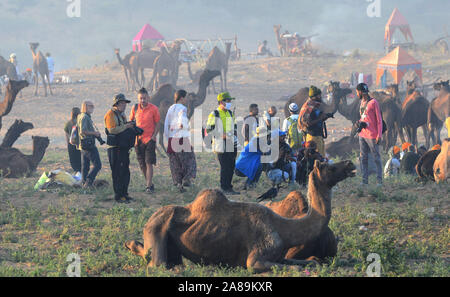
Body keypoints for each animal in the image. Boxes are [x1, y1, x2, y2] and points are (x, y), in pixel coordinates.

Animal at [125, 160, 356, 270]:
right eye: (329, 167)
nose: (349, 164)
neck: (285, 228)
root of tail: (149, 220)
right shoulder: (256, 258)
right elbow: (282, 268)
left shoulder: (280, 254)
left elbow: (311, 261)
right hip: (157, 230)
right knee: (158, 264)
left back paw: (131, 244)